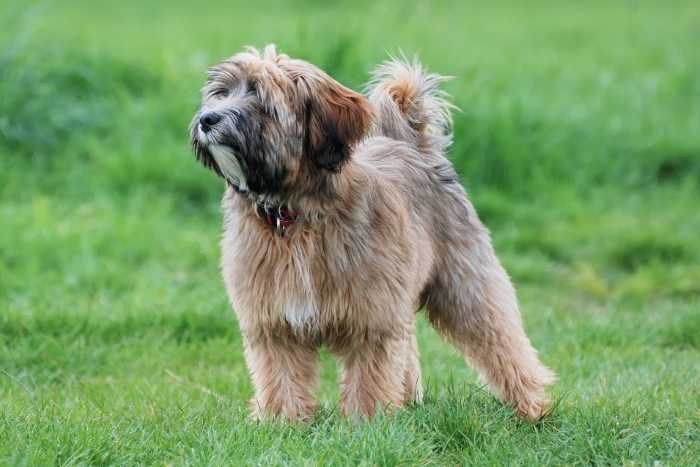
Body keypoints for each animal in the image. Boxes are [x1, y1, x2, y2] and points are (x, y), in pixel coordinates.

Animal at [189, 45, 556, 422]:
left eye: (260, 100)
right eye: (221, 93)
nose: (207, 119)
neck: (293, 215)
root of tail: (414, 146)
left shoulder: (370, 316)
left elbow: (369, 374)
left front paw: (368, 421)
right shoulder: (274, 322)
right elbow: (282, 375)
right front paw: (283, 422)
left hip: (465, 283)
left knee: (501, 339)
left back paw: (531, 406)